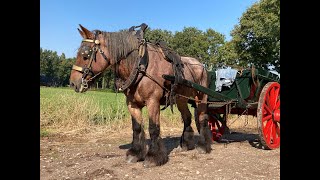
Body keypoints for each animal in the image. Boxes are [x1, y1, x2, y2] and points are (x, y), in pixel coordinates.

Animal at [68, 23, 212, 167]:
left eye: (86, 55)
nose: (73, 83)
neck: (140, 65)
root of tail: (201, 65)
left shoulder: (152, 101)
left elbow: (153, 128)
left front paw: (153, 156)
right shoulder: (132, 103)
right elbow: (136, 127)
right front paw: (135, 153)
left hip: (202, 98)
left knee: (202, 118)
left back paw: (203, 146)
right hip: (181, 99)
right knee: (187, 117)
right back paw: (186, 144)